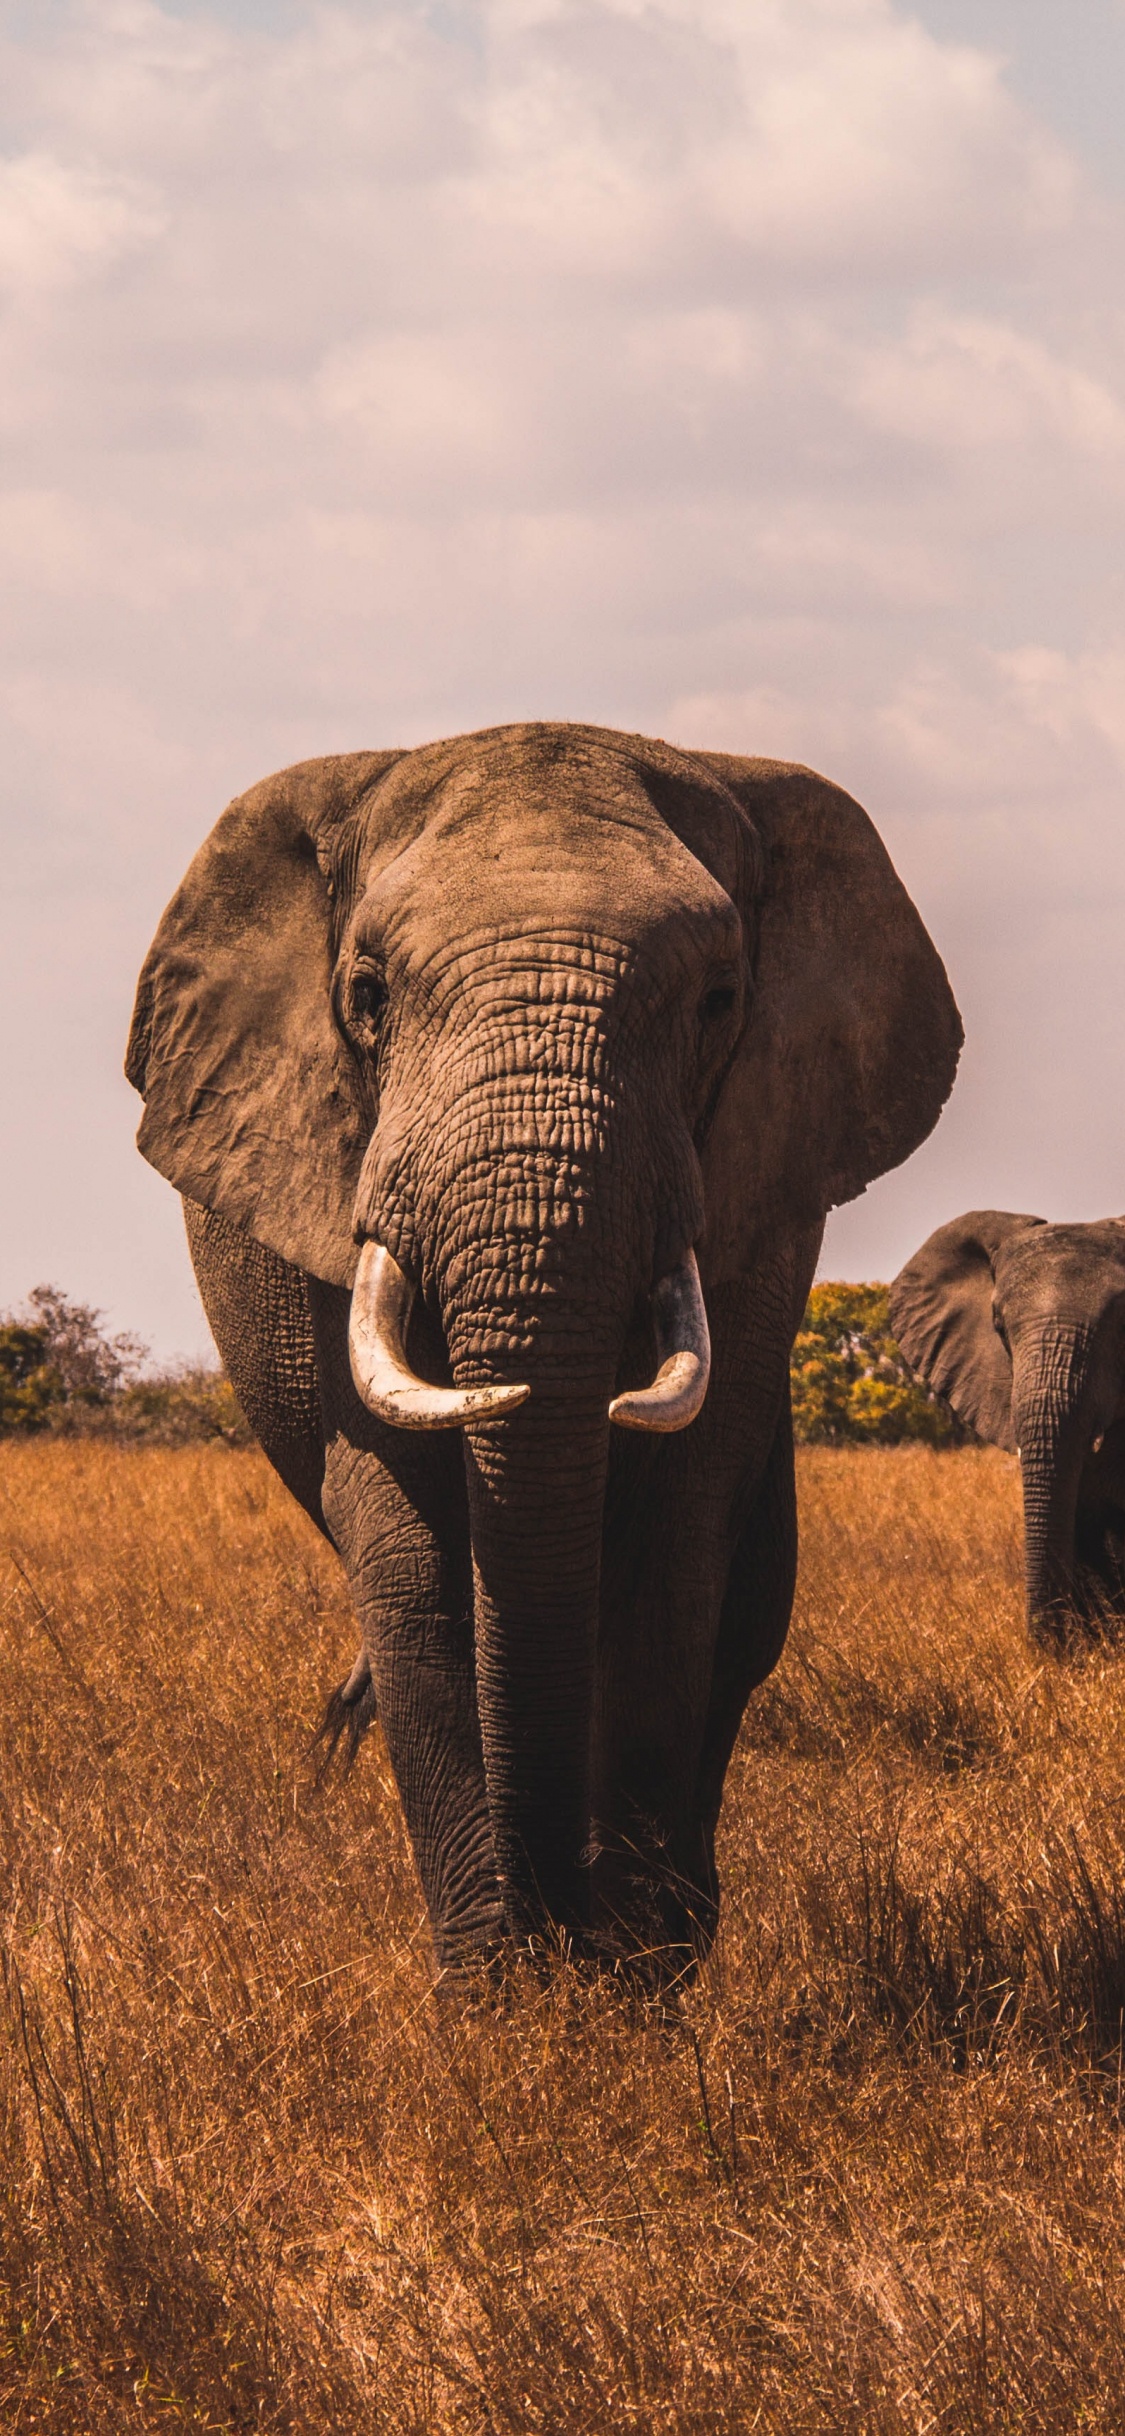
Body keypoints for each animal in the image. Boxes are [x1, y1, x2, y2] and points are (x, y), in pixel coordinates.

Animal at [127, 721, 960, 1979]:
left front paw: (630, 1980)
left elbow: (676, 1547)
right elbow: (413, 1557)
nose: (557, 1924)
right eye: (367, 996)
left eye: (720, 1000)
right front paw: (501, 1993)